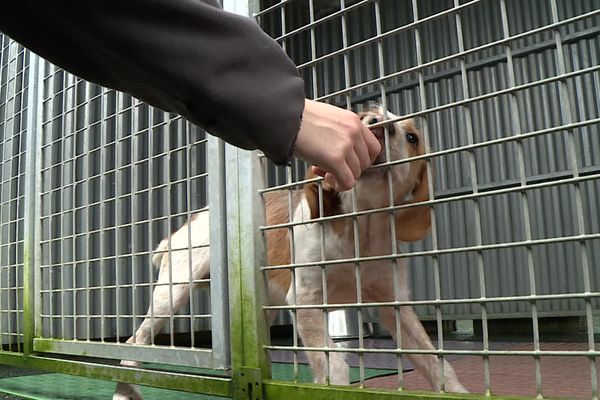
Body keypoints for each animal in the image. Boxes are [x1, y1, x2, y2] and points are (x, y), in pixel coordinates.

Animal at [113, 108, 468, 398]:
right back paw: (126, 389)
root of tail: (195, 219)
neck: (359, 231)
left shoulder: (394, 306)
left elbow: (437, 364)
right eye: (364, 116)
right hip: (172, 292)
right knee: (137, 341)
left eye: (412, 137)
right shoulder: (306, 299)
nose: (377, 124)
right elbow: (333, 366)